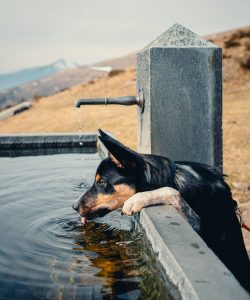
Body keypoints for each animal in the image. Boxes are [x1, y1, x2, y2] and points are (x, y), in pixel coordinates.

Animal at [73, 129, 250, 292]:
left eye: (102, 182)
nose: (74, 206)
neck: (174, 178)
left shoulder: (202, 229)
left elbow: (171, 191)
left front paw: (138, 198)